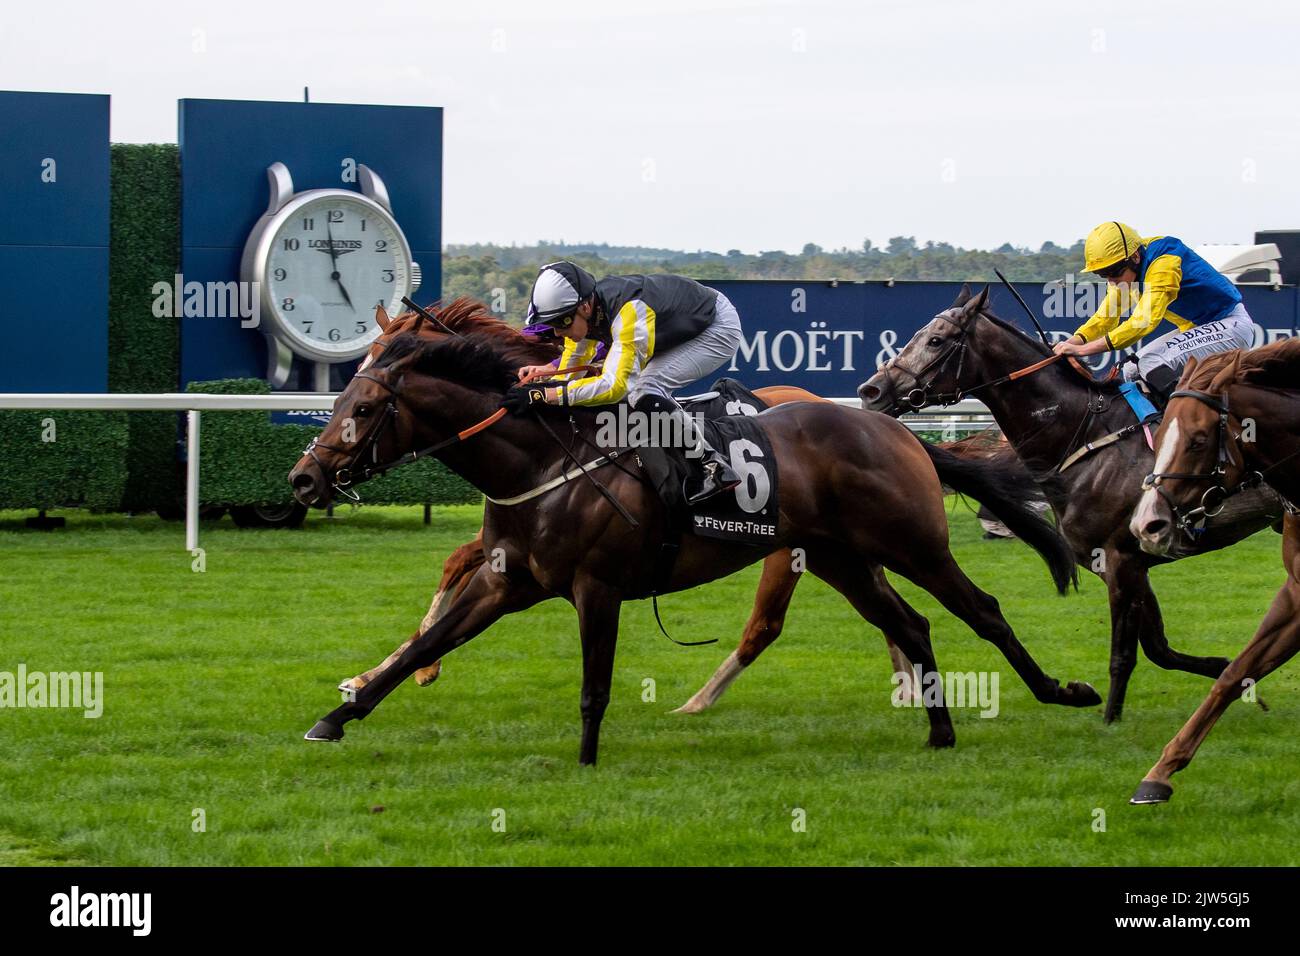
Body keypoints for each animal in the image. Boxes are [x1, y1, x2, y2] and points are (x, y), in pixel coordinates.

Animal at [287, 310, 1097, 764]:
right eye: (342, 396)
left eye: (363, 409)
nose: (302, 479)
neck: (543, 460)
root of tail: (892, 427)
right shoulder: (506, 580)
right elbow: (428, 642)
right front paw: (337, 714)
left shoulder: (596, 587)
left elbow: (595, 682)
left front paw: (586, 759)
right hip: (840, 558)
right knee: (912, 624)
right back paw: (939, 731)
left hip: (913, 545)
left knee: (980, 610)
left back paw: (1061, 691)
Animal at [1128, 340, 1300, 806]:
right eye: (1158, 433)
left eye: (1199, 440)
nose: (1147, 525)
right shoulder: (1296, 592)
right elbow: (1233, 674)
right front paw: (1159, 774)